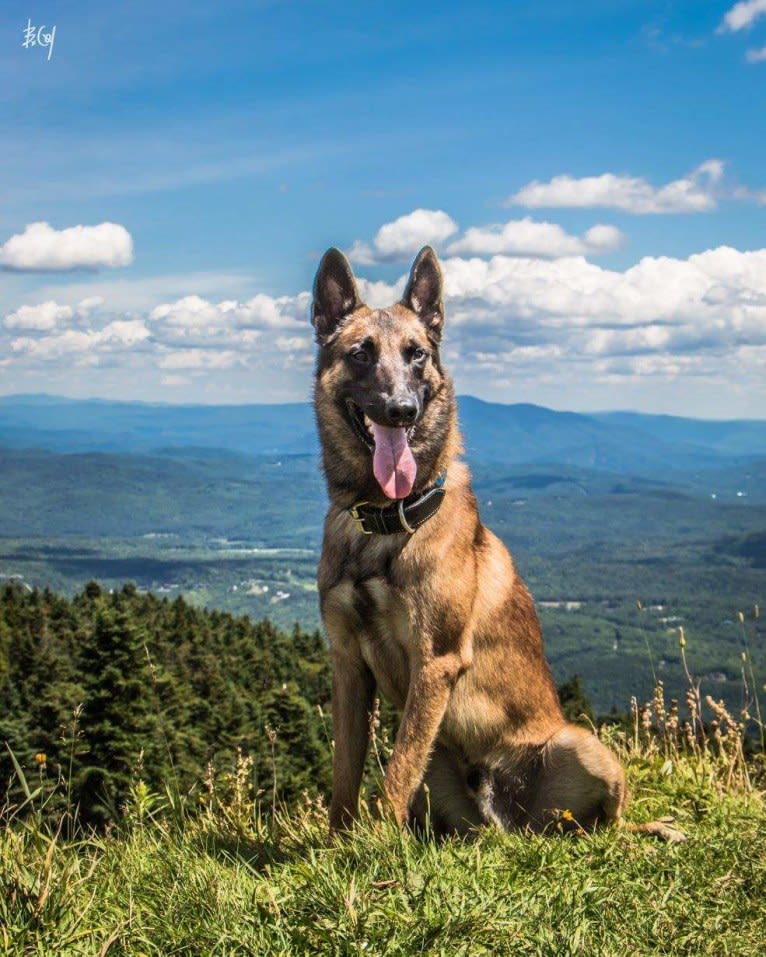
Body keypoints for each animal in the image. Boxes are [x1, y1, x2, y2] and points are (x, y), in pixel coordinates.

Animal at [312, 248, 684, 844]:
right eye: (361, 353)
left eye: (417, 355)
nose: (401, 410)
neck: (386, 520)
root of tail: (511, 822)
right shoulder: (348, 664)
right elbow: (346, 772)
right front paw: (334, 846)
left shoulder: (434, 661)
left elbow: (395, 771)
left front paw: (371, 846)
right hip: (446, 773)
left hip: (585, 746)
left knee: (607, 825)